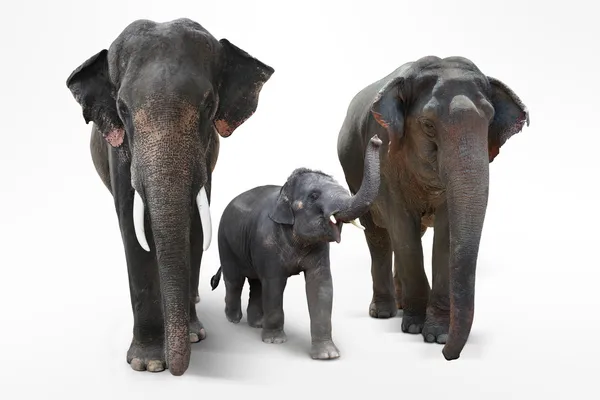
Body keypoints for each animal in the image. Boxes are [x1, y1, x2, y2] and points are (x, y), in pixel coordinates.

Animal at [65, 18, 274, 376]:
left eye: (208, 105)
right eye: (122, 109)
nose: (180, 372)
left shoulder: (205, 155)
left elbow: (195, 228)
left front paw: (193, 336)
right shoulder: (121, 152)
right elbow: (132, 231)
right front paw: (148, 363)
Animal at [209, 136, 382, 360]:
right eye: (314, 196)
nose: (377, 139)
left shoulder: (319, 248)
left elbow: (321, 286)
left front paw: (328, 355)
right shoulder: (267, 242)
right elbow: (274, 284)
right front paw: (275, 341)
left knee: (256, 283)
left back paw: (256, 324)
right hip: (225, 241)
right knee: (235, 280)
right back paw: (234, 320)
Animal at [338, 55, 528, 360]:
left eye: (489, 122)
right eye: (427, 125)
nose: (449, 356)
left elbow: (445, 233)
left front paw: (437, 334)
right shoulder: (387, 157)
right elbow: (403, 228)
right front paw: (415, 328)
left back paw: (401, 305)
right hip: (355, 176)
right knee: (379, 236)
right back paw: (384, 312)